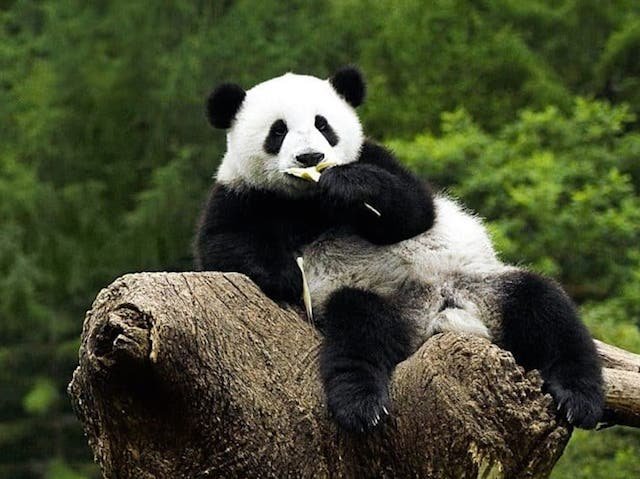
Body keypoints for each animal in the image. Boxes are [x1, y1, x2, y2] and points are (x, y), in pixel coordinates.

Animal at [194, 67, 604, 432]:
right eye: (278, 131)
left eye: (323, 125)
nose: (310, 158)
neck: (307, 200)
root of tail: (439, 312)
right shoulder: (240, 194)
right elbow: (221, 246)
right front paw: (286, 275)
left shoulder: (376, 158)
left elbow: (414, 209)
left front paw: (348, 186)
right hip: (379, 301)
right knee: (359, 331)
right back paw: (361, 405)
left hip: (482, 285)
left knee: (546, 309)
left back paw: (578, 397)